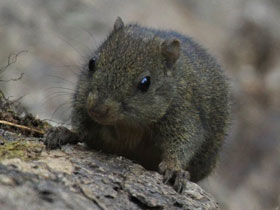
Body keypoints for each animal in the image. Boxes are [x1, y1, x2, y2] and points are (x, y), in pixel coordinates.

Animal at [43, 17, 230, 193]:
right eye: (92, 62)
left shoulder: (183, 113)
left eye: (145, 82)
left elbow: (185, 141)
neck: (128, 124)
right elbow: (81, 125)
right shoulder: (83, 100)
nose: (97, 109)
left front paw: (174, 168)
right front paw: (66, 132)